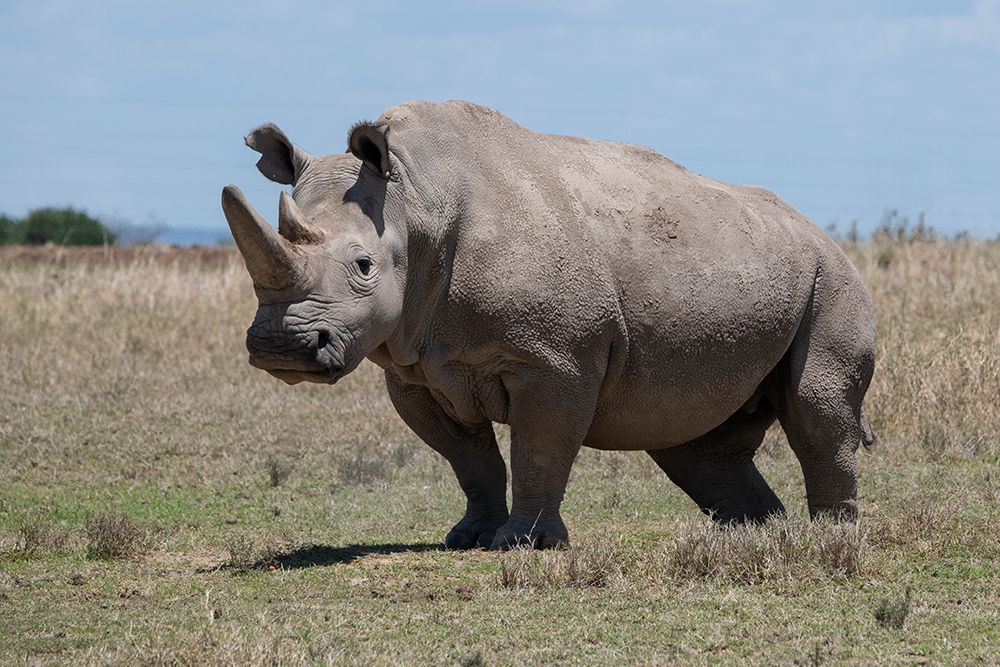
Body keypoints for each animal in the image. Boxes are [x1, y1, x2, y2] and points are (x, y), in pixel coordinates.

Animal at [221, 99, 876, 548]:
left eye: (363, 267)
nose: (281, 346)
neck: (416, 200)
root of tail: (818, 230)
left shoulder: (554, 360)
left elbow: (540, 448)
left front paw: (525, 544)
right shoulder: (414, 365)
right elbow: (470, 460)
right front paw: (469, 537)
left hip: (832, 277)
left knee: (815, 410)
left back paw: (829, 541)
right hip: (743, 264)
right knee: (694, 441)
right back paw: (755, 537)